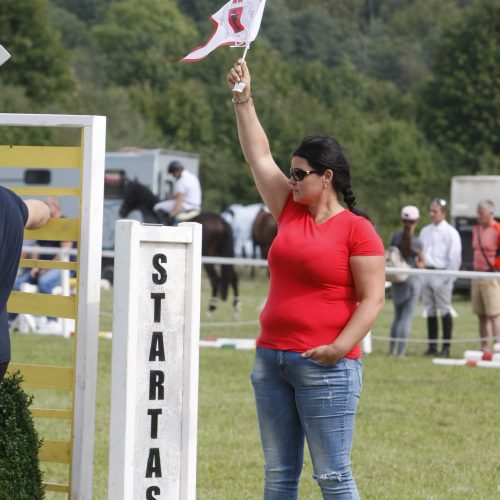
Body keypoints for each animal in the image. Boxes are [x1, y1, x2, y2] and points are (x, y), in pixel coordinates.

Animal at [119, 178, 240, 314]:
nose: (121, 212)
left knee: (215, 279)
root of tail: (221, 220)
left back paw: (211, 308)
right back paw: (235, 309)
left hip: (208, 256)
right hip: (221, 255)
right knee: (233, 277)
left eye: (127, 193)